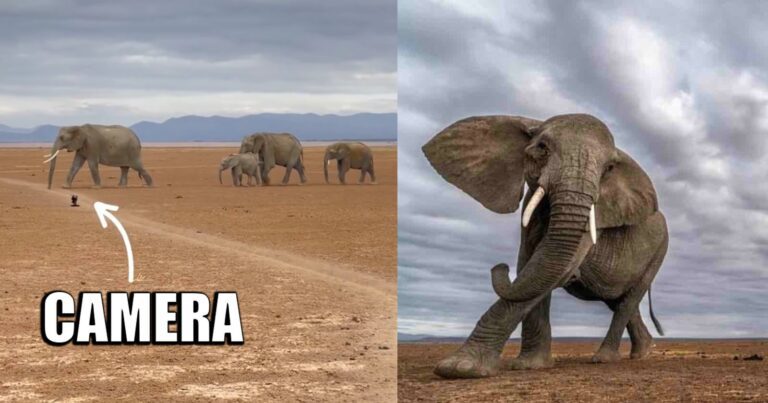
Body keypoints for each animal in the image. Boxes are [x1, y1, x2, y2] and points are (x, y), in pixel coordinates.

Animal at [422, 113, 668, 379]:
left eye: (609, 168)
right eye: (542, 148)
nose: (500, 266)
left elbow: (549, 271)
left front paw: (459, 367)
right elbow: (529, 266)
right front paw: (529, 365)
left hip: (659, 252)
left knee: (628, 299)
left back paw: (604, 359)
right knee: (617, 299)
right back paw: (642, 352)